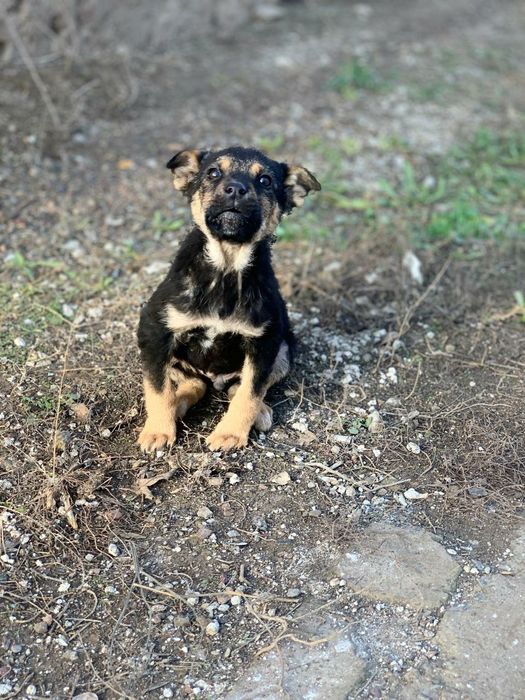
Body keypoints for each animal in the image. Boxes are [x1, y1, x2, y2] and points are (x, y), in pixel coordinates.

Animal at [137, 146, 320, 452]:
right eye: (213, 173)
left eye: (265, 181)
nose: (235, 189)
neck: (226, 267)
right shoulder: (155, 331)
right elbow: (158, 389)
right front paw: (158, 431)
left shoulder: (264, 342)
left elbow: (250, 392)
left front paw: (230, 434)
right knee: (193, 384)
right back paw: (178, 405)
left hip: (283, 349)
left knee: (241, 386)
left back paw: (259, 411)